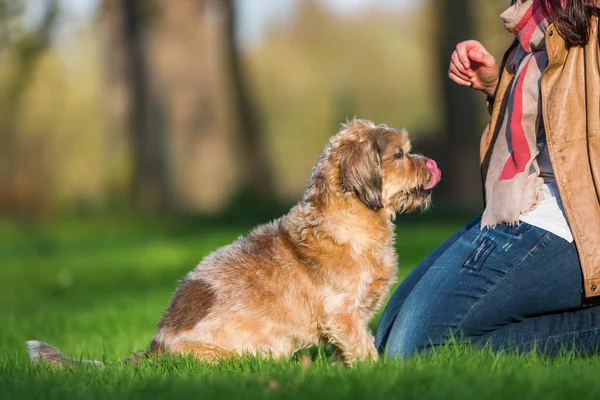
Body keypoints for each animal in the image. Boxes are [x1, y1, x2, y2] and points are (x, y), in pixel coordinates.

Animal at [27, 119, 440, 366]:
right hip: (237, 354)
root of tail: (157, 349)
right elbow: (361, 345)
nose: (429, 163)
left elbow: (348, 350)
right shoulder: (342, 312)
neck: (348, 218)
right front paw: (375, 371)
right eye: (400, 154)